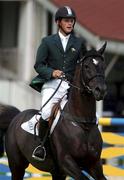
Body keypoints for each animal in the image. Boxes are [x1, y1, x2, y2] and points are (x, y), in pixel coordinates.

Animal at [5, 43, 106, 179]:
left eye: (103, 65)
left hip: (57, 173)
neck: (82, 123)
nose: (101, 90)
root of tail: (16, 117)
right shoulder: (66, 162)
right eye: (86, 66)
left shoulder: (94, 164)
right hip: (17, 165)